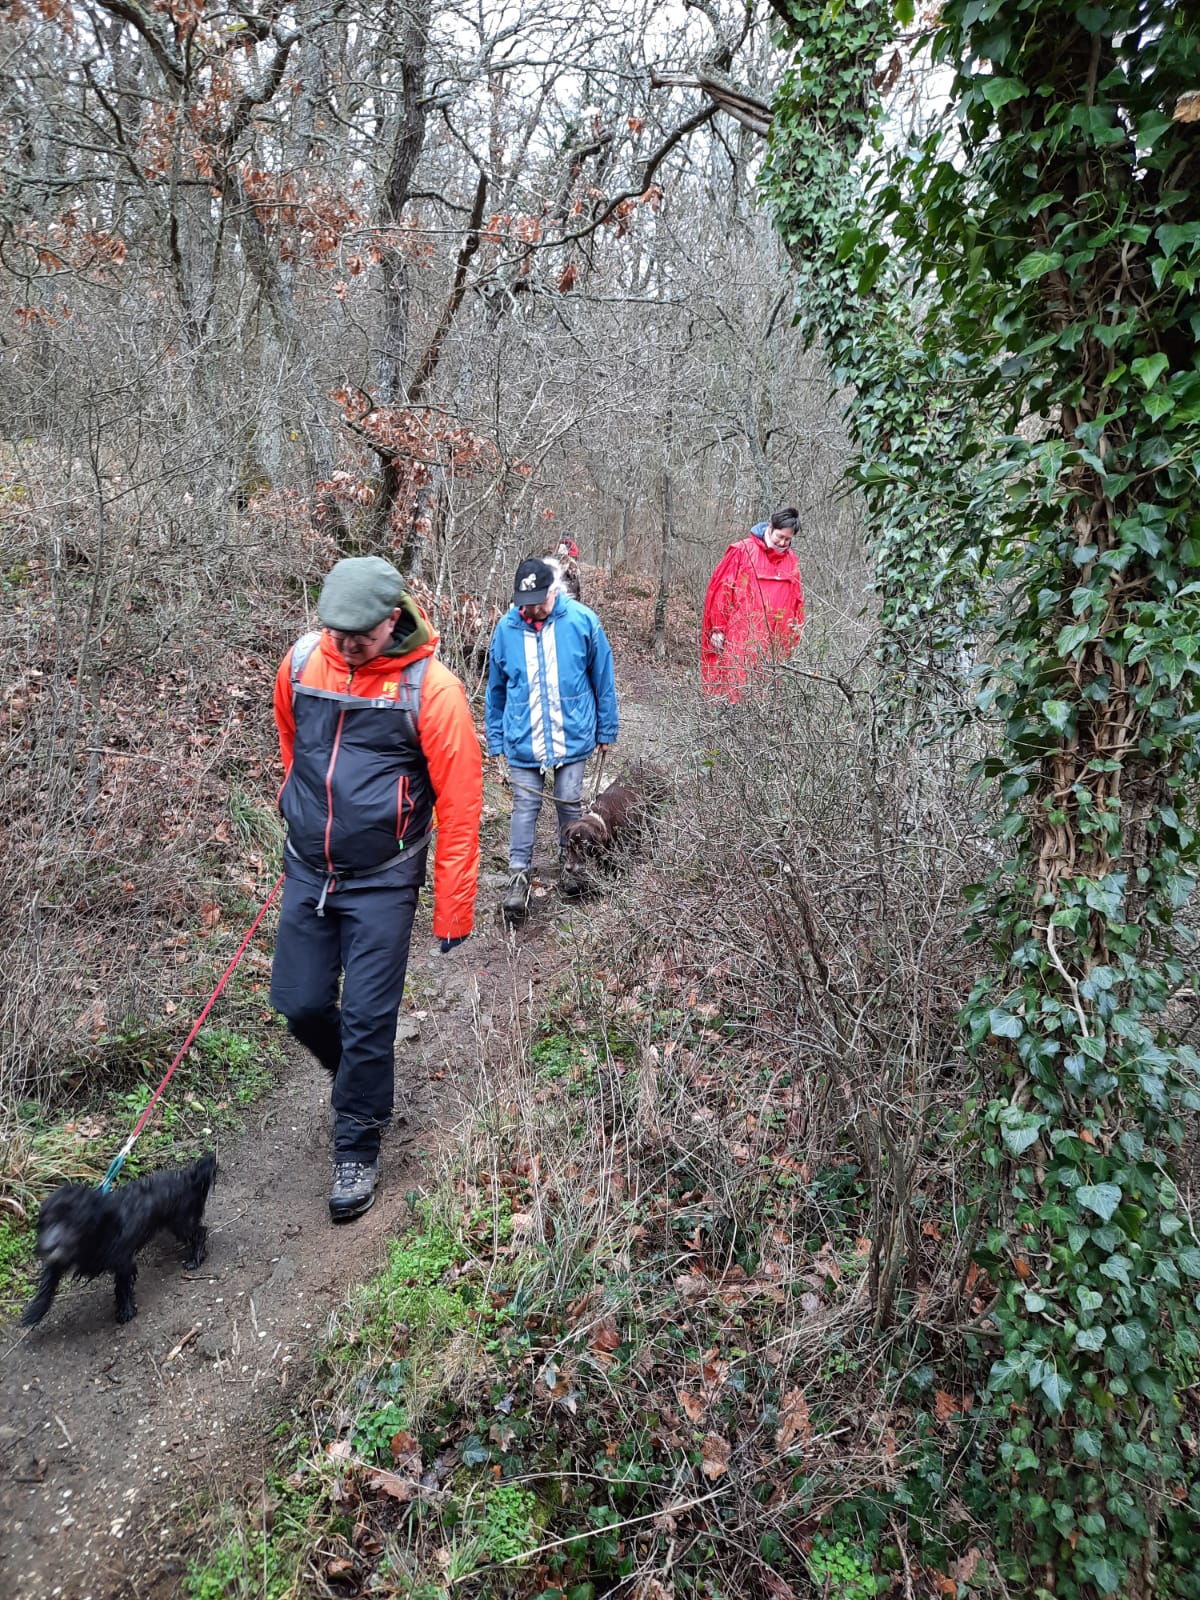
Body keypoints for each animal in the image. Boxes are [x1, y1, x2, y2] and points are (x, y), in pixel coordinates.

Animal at [22, 1152, 217, 1324]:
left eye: (72, 1222)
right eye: (47, 1222)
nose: (48, 1246)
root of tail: (188, 1176)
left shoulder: (122, 1261)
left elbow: (122, 1287)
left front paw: (125, 1310)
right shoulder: (60, 1258)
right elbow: (47, 1282)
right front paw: (36, 1310)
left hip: (181, 1222)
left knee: (200, 1232)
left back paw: (195, 1258)